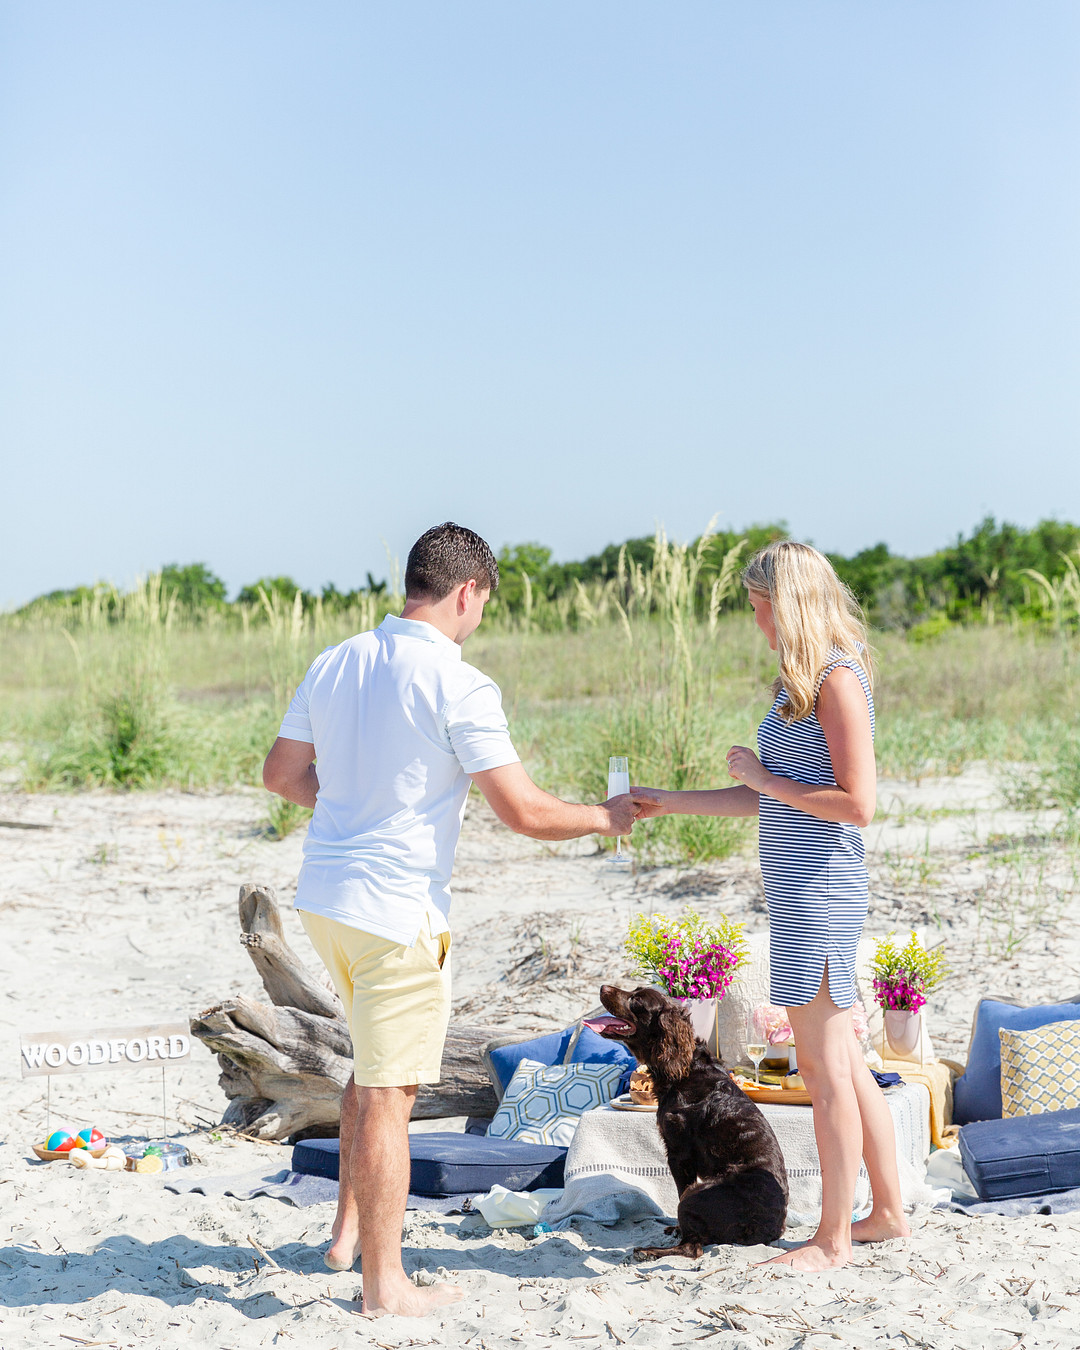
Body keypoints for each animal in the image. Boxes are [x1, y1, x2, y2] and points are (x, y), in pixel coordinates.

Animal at [599, 982, 783, 1252]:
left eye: (637, 1001)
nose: (603, 987)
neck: (685, 1069)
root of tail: (769, 1232)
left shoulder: (679, 1154)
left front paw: (675, 1229)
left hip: (696, 1193)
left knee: (691, 1248)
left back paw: (648, 1252)